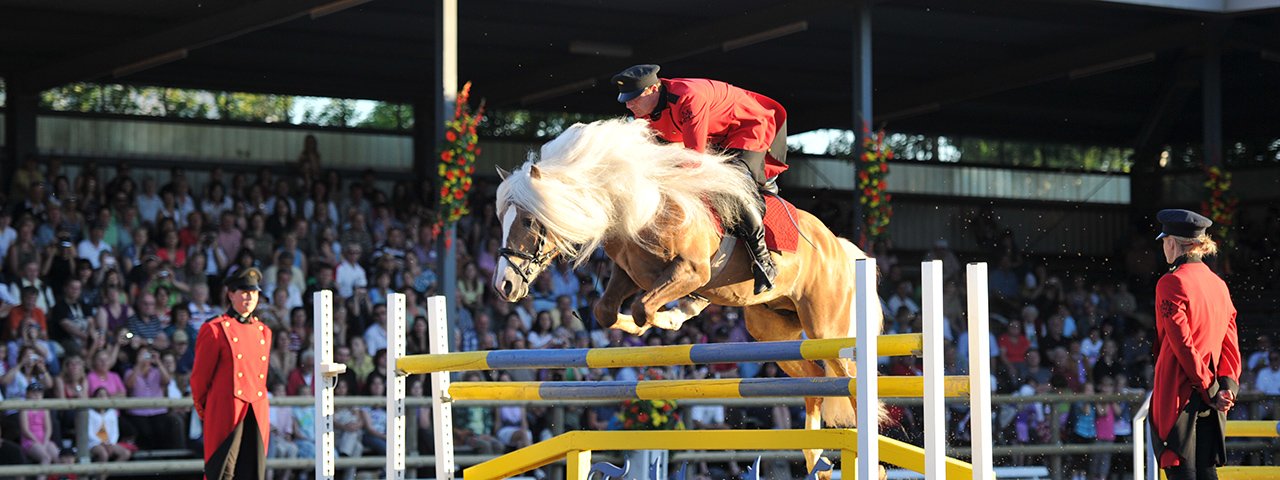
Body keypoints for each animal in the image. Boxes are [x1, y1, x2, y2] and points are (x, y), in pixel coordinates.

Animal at [488, 117, 880, 478]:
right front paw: (666, 317)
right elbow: (608, 311)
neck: (641, 204)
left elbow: (643, 307)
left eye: (527, 221)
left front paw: (667, 316)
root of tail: (838, 246)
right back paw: (816, 461)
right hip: (771, 329)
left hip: (826, 329)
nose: (503, 286)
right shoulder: (631, 274)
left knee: (848, 382)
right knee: (815, 382)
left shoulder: (692, 271)